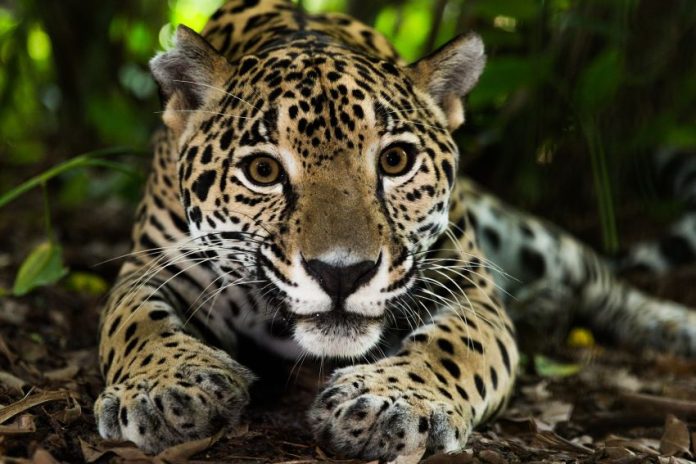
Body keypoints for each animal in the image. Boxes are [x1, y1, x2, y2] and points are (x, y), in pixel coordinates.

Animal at [94, 0, 696, 460]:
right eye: (262, 171)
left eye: (396, 161)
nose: (342, 274)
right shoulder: (151, 267)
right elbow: (136, 324)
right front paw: (167, 386)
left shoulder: (471, 289)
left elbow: (454, 346)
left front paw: (389, 402)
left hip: (531, 240)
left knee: (597, 276)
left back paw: (667, 324)